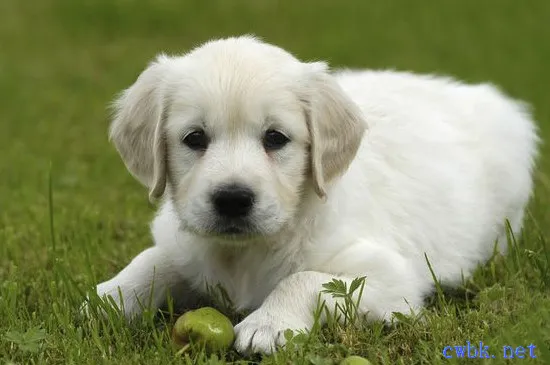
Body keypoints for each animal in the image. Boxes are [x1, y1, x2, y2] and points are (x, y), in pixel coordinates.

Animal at [92, 35, 540, 352]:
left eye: (275, 138)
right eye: (194, 138)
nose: (233, 199)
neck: (245, 254)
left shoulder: (391, 277)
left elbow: (305, 278)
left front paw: (267, 325)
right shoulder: (183, 244)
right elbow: (153, 260)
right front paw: (108, 298)